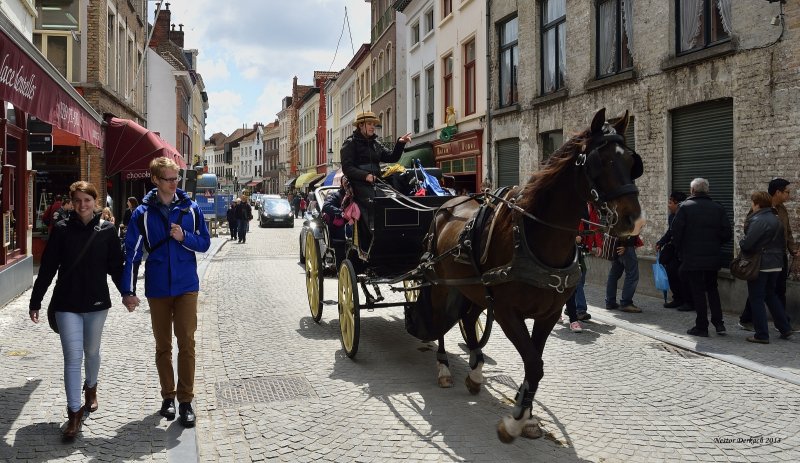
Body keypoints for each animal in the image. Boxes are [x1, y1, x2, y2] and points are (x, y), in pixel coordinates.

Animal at [424, 108, 644, 442]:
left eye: (632, 162)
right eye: (601, 161)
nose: (635, 220)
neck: (535, 237)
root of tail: (448, 202)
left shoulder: (549, 314)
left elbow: (534, 364)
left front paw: (525, 415)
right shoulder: (506, 312)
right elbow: (533, 364)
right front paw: (514, 421)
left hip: (472, 287)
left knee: (468, 318)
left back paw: (475, 372)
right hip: (439, 283)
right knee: (438, 321)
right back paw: (444, 368)